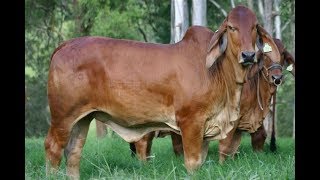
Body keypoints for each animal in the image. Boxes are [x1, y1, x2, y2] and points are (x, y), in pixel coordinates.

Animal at [129, 38, 294, 162]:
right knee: (143, 142)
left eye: (283, 54)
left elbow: (257, 138)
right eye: (265, 56)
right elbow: (227, 143)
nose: (277, 77)